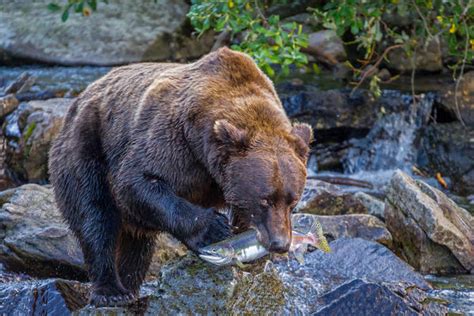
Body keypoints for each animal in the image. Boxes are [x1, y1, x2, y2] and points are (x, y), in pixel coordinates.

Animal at [50, 47, 312, 306]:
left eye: (292, 201)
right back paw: (111, 291)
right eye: (265, 200)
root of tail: (79, 98)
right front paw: (214, 228)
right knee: (95, 216)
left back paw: (130, 286)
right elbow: (136, 182)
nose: (280, 243)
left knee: (138, 243)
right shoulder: (173, 141)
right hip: (86, 148)